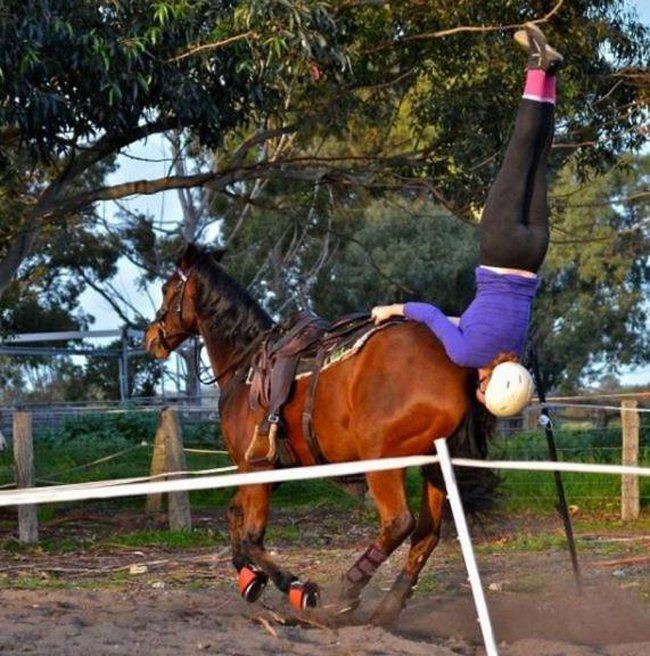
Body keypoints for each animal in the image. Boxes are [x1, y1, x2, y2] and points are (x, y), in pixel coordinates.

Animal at [146, 243, 492, 624]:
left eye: (166, 289)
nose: (151, 338)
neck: (246, 365)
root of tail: (455, 365)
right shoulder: (266, 471)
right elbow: (234, 515)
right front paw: (249, 576)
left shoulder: (256, 467)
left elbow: (251, 536)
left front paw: (297, 588)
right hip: (433, 465)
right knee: (426, 534)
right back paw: (387, 607)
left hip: (383, 460)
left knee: (399, 523)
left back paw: (348, 592)